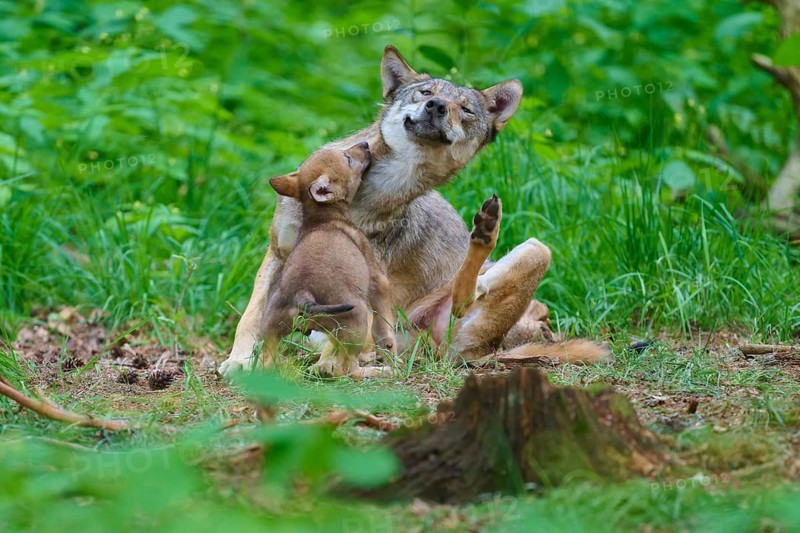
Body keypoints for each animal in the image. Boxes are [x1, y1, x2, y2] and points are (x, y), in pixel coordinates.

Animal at [219, 45, 607, 376]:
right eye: (424, 93)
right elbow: (252, 318)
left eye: (465, 109)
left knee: (467, 299)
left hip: (536, 253)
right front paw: (240, 362)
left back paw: (485, 230)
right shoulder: (278, 254)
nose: (437, 105)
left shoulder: (369, 276)